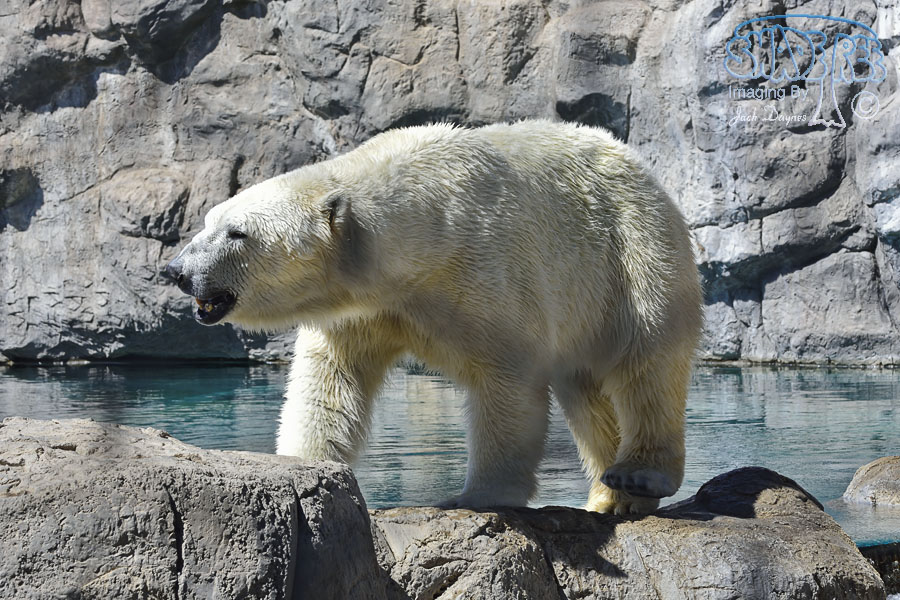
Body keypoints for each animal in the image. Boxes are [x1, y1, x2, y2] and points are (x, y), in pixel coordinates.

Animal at [165, 120, 703, 515]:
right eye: (208, 222)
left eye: (237, 233)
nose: (176, 270)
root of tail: (639, 166)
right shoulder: (362, 309)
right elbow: (330, 381)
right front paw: (303, 466)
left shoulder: (488, 271)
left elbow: (507, 380)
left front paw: (476, 496)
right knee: (587, 392)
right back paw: (610, 498)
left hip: (629, 253)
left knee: (645, 362)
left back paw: (636, 475)